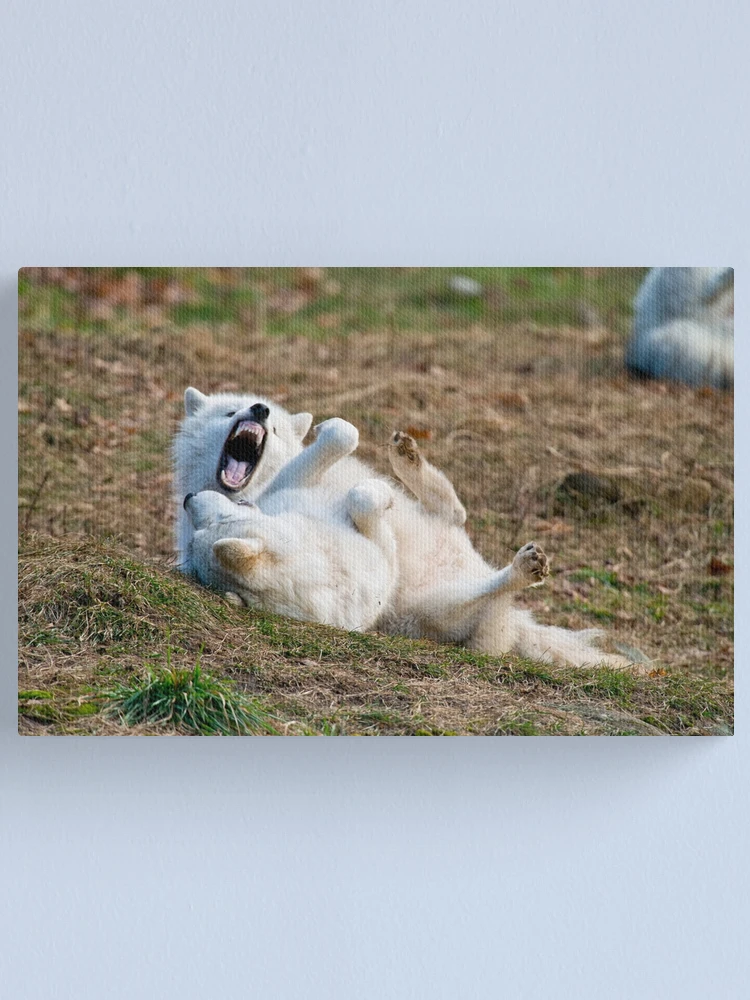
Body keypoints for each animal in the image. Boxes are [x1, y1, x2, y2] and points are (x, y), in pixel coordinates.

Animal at [173, 388, 631, 668]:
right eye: (229, 412)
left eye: (274, 426)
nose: (259, 410)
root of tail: (513, 626)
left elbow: (343, 436)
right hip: (436, 610)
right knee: (486, 582)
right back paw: (524, 568)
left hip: (443, 542)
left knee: (454, 512)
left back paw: (407, 456)